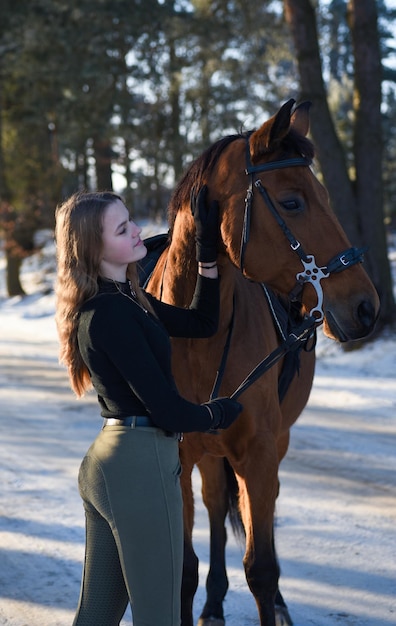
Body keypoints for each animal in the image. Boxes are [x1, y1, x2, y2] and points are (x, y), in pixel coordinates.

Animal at [145, 100, 378, 624]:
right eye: (292, 203)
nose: (366, 307)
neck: (198, 335)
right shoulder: (178, 455)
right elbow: (183, 569)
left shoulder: (260, 451)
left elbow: (262, 570)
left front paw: (272, 595)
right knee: (215, 504)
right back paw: (214, 601)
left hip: (273, 444)